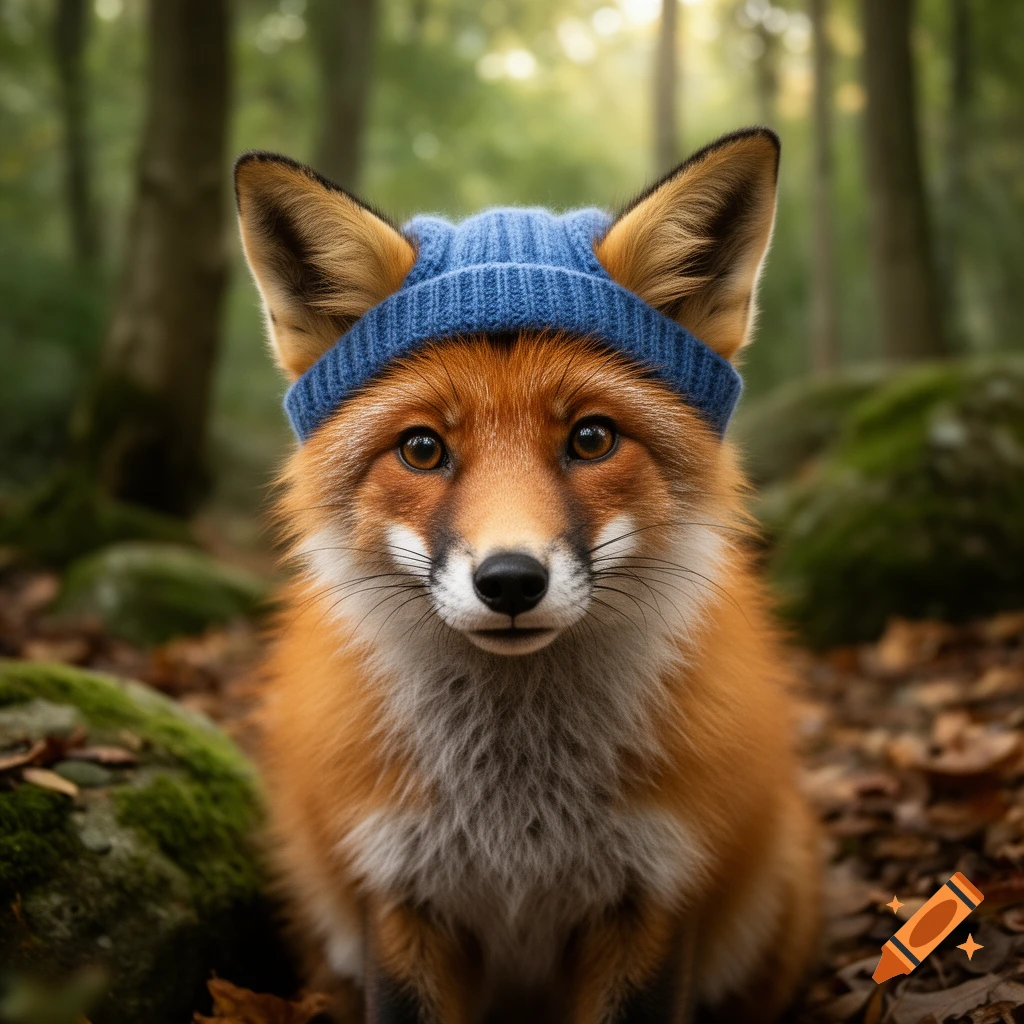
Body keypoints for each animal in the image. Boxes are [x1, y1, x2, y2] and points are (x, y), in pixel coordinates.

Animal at [233, 127, 820, 1024]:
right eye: (421, 448)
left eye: (591, 439)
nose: (510, 582)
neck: (517, 818)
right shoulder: (400, 890)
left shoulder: (652, 892)